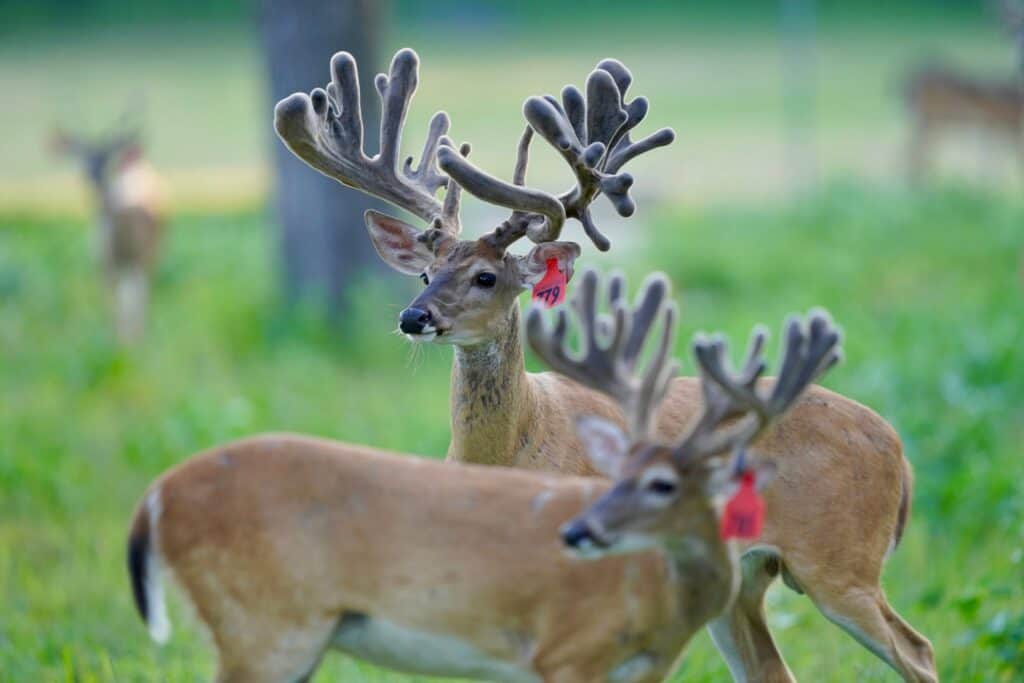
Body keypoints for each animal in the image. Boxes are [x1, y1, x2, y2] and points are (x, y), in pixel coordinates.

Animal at [51, 120, 165, 343]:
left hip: (150, 254)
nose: (92, 174)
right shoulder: (103, 265)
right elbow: (112, 305)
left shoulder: (138, 257)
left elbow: (134, 301)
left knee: (141, 295)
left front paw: (133, 340)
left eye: (109, 155)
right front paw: (114, 339)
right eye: (81, 154)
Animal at [275, 48, 936, 681]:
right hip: (746, 578)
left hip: (841, 560)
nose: (414, 317)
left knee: (919, 649)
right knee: (774, 670)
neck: (509, 450)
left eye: (486, 276)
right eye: (423, 274)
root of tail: (898, 450)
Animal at [903, 0, 1024, 183]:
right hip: (933, 118)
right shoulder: (1003, 126)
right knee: (914, 153)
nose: (1019, 52)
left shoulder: (997, 128)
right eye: (1012, 31)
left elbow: (992, 163)